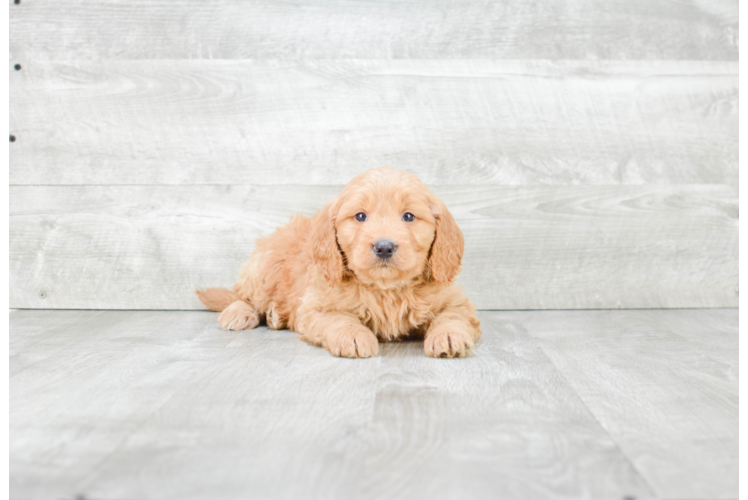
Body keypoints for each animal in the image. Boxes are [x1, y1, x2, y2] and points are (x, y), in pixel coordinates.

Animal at [196, 166, 482, 358]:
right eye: (360, 216)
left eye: (409, 216)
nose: (384, 247)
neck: (386, 289)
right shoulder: (316, 306)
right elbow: (339, 318)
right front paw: (353, 336)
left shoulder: (456, 301)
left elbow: (451, 315)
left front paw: (448, 335)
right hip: (266, 266)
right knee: (243, 296)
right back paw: (240, 313)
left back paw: (275, 316)